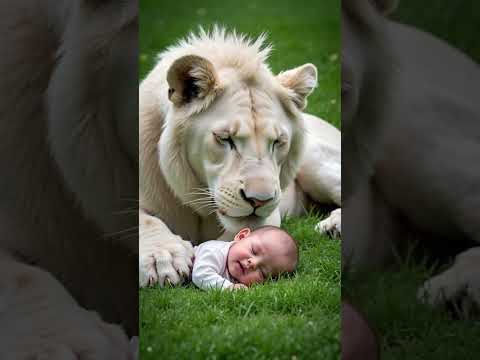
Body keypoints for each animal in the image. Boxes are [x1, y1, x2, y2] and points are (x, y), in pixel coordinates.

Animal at [139, 28, 342, 286]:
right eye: (225, 139)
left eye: (278, 142)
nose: (260, 200)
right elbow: (146, 220)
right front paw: (162, 259)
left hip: (315, 158)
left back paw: (334, 224)